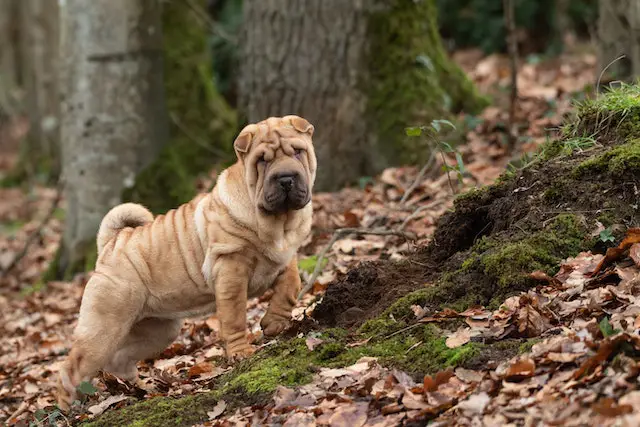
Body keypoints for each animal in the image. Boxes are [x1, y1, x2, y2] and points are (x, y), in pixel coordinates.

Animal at [56, 115, 316, 410]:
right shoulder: (231, 269)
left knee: (120, 358)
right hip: (104, 326)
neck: (278, 223)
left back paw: (142, 389)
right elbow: (235, 315)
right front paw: (241, 352)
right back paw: (69, 408)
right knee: (72, 368)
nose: (285, 178)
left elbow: (291, 285)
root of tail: (112, 242)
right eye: (262, 160)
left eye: (298, 152)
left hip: (158, 329)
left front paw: (274, 322)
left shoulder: (284, 256)